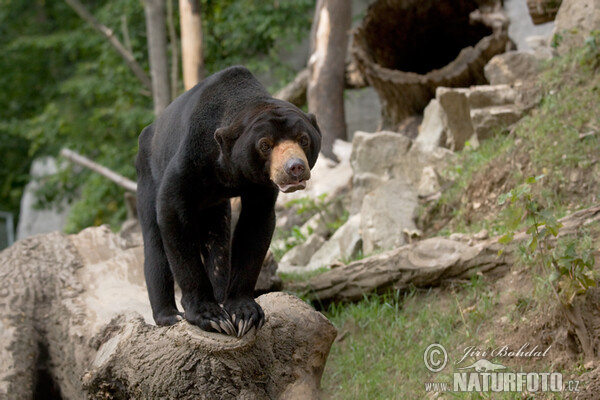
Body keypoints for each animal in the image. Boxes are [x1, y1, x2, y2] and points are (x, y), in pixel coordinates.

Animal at [136, 66, 322, 338]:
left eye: (303, 139)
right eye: (265, 145)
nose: (295, 167)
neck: (229, 170)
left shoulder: (261, 186)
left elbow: (255, 226)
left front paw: (243, 313)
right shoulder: (191, 158)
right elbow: (172, 213)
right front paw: (210, 316)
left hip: (214, 207)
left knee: (218, 243)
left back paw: (220, 294)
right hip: (147, 173)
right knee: (155, 243)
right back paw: (168, 315)